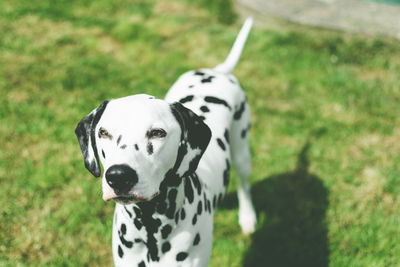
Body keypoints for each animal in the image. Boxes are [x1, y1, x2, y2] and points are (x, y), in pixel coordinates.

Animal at [75, 18, 256, 267]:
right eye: (104, 133)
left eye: (157, 133)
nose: (118, 176)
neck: (151, 229)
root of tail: (216, 71)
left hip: (241, 152)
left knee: (244, 185)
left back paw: (248, 218)